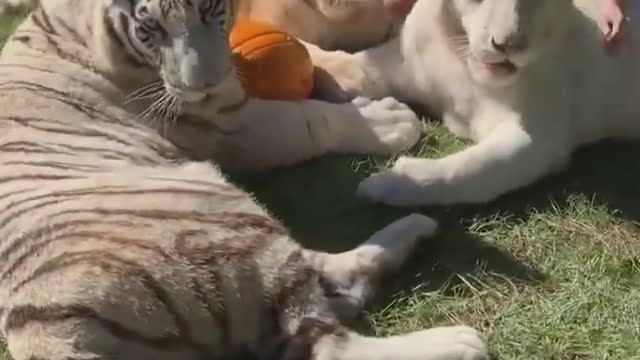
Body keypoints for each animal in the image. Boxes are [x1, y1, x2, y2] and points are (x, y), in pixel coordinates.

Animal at [0, 0, 484, 360]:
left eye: (208, 10)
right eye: (150, 27)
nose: (205, 85)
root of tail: (52, 337)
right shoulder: (229, 124)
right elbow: (306, 120)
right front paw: (390, 122)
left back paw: (415, 229)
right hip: (207, 211)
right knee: (327, 340)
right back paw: (459, 342)